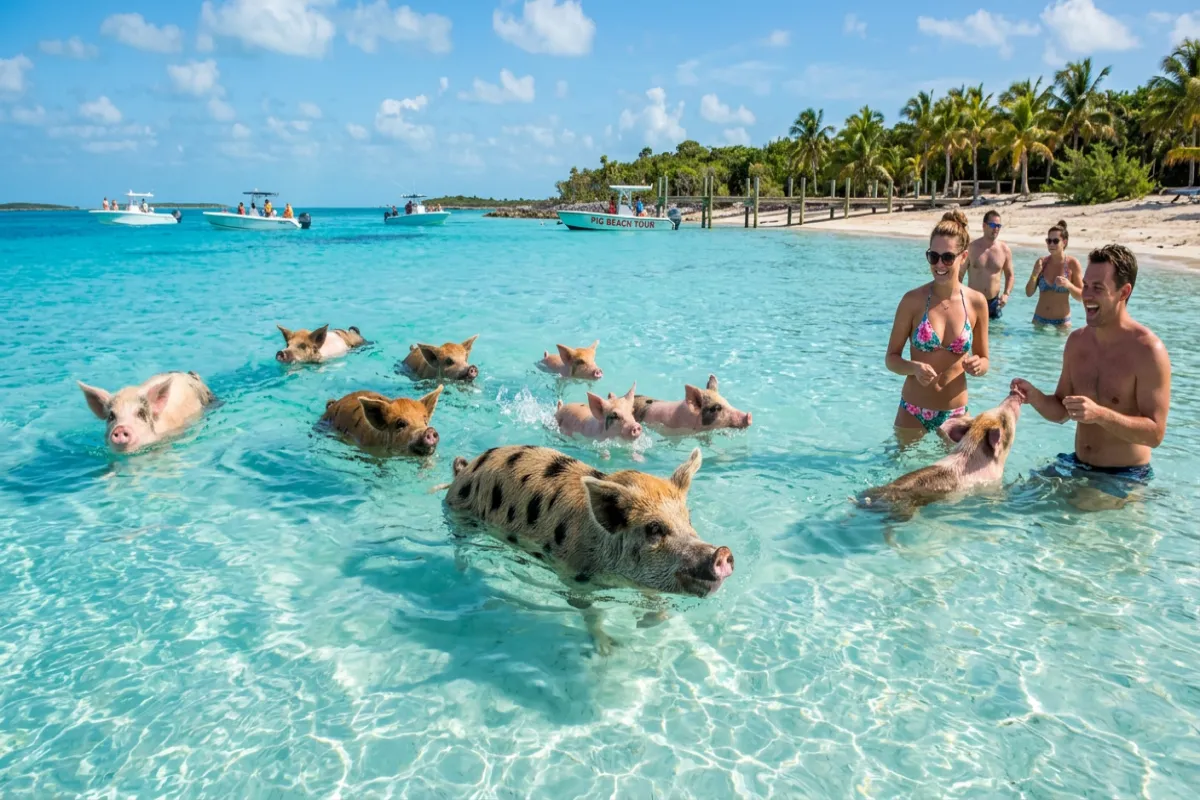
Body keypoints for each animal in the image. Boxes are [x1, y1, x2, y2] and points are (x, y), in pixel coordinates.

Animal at [442, 445, 734, 653]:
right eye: (654, 529)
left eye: (688, 519)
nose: (721, 552)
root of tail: (464, 469)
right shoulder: (574, 577)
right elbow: (590, 612)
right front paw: (610, 649)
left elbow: (655, 601)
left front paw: (644, 622)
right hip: (461, 515)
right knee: (458, 544)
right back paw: (462, 574)